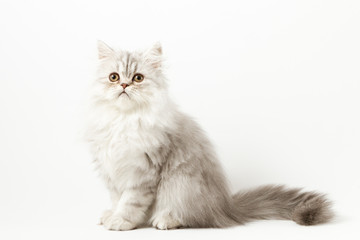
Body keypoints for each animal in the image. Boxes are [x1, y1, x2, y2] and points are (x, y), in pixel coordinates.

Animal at [86, 41, 334, 231]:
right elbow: (117, 199)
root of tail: (226, 207)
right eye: (113, 77)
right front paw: (112, 214)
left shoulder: (142, 173)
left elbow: (130, 204)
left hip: (182, 185)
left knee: (193, 218)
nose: (124, 85)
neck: (124, 119)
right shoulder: (113, 172)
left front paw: (121, 221)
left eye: (138, 78)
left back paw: (166, 220)